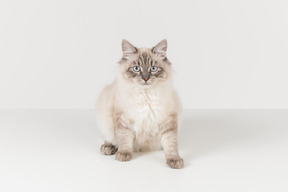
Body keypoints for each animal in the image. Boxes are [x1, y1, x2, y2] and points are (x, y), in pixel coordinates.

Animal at [95, 39, 183, 169]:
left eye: (153, 68)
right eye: (136, 68)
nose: (145, 78)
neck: (145, 96)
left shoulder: (168, 122)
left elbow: (171, 144)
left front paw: (175, 160)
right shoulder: (123, 120)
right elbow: (124, 140)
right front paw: (124, 154)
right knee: (110, 138)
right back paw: (108, 147)